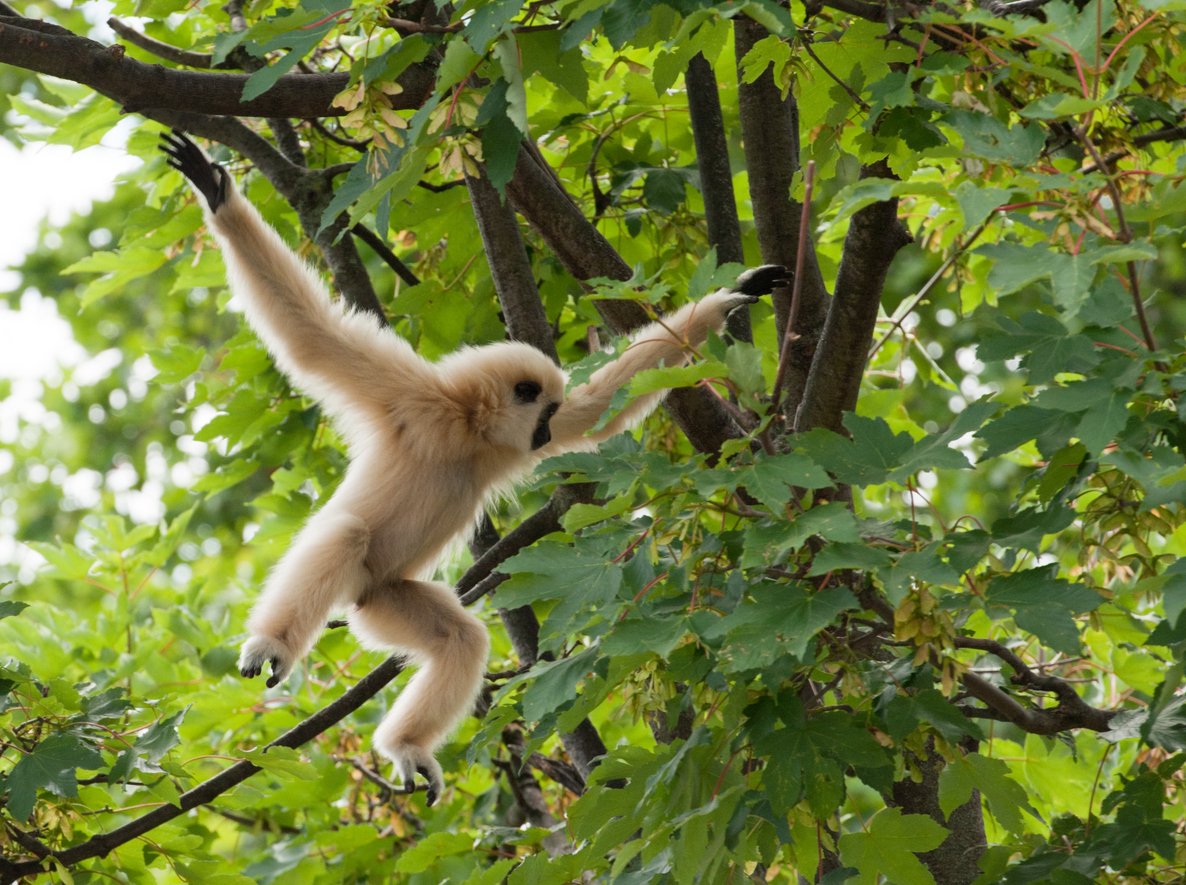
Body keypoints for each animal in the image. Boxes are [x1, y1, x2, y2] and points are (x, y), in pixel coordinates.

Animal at [160, 129, 788, 805]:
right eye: (541, 413)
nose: (544, 429)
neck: (465, 431)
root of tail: (357, 598)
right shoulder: (409, 397)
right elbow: (311, 336)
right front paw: (217, 195)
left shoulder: (503, 444)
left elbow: (598, 411)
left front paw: (736, 293)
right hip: (365, 582)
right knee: (347, 533)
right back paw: (276, 642)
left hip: (384, 598)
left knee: (461, 639)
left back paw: (406, 746)